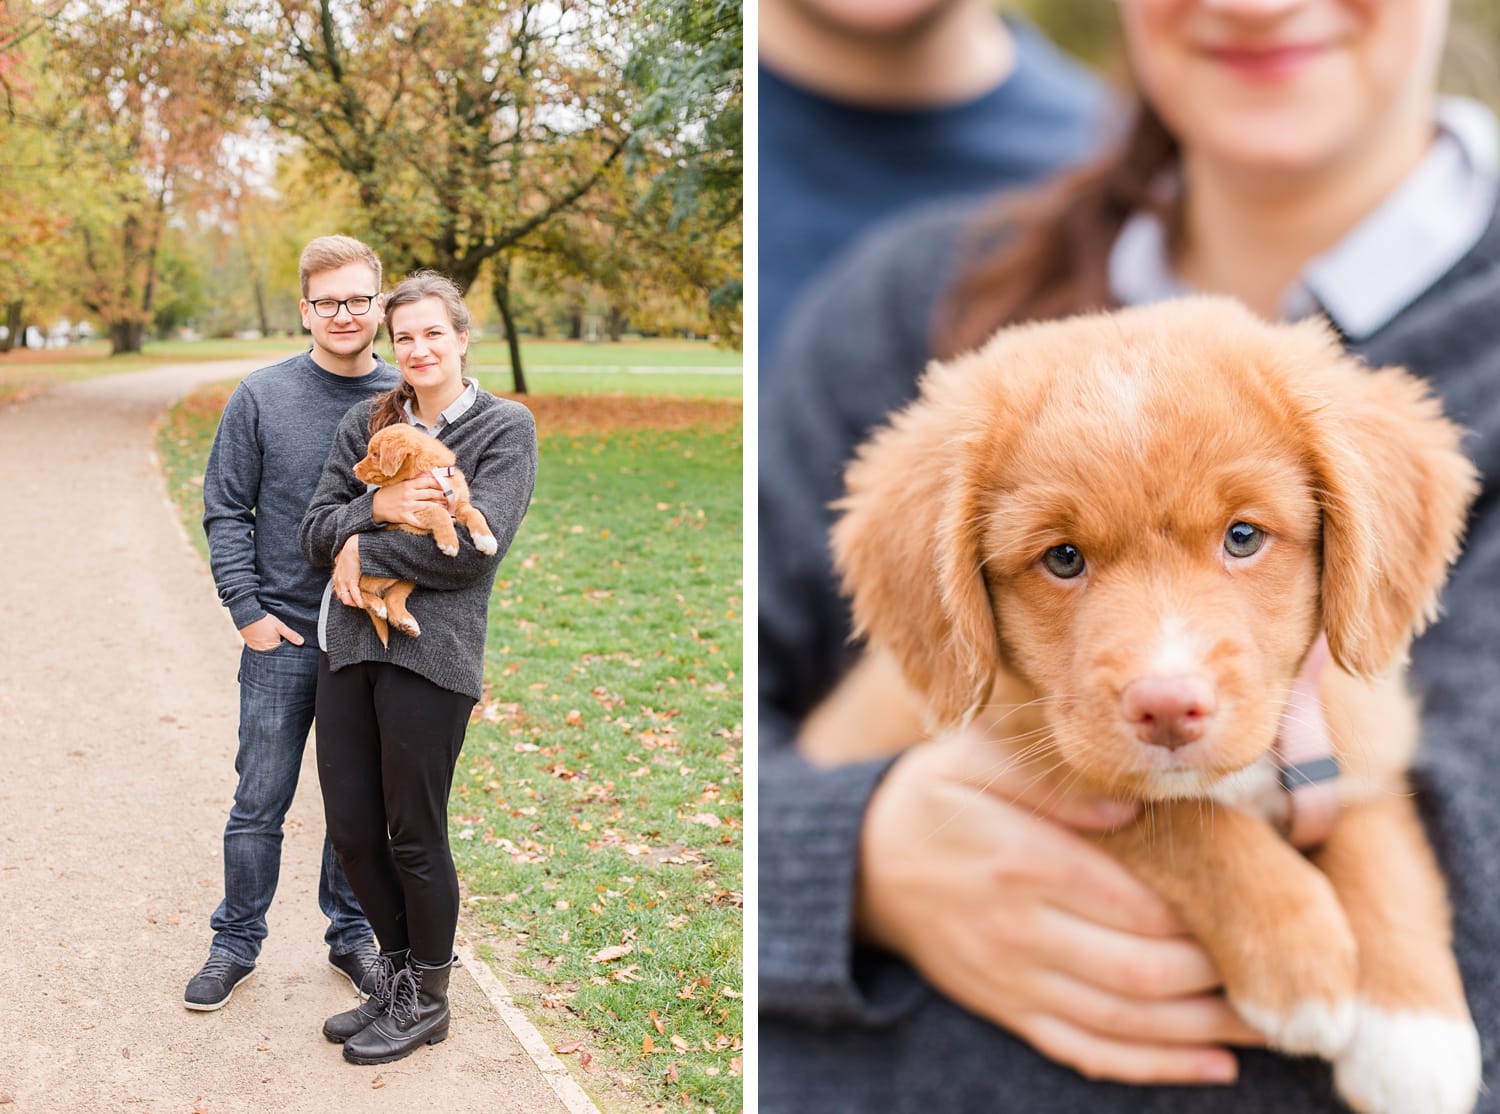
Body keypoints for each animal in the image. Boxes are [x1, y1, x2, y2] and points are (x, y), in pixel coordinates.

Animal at [346, 419, 498, 644]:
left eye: (375, 454)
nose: (354, 469)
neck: (431, 471)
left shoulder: (460, 503)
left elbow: (475, 512)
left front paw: (486, 540)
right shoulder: (409, 515)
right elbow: (438, 511)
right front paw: (450, 543)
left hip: (409, 578)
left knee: (393, 597)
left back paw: (405, 621)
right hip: (369, 575)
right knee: (359, 591)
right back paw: (376, 606)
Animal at [804, 296, 1482, 1114]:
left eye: (1244, 536)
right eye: (1062, 558)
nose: (1166, 708)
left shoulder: (1365, 732)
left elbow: (1384, 852)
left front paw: (1415, 1036)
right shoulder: (1031, 754)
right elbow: (1184, 824)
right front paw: (1298, 959)